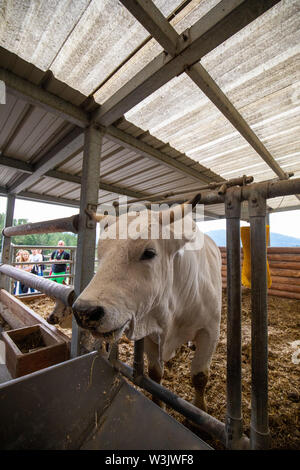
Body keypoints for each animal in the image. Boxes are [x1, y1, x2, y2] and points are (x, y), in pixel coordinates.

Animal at [72, 202, 223, 412]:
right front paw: (159, 404)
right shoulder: (150, 332)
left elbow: (199, 377)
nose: (84, 312)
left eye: (149, 253)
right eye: (100, 253)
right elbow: (154, 373)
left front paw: (200, 409)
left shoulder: (210, 331)